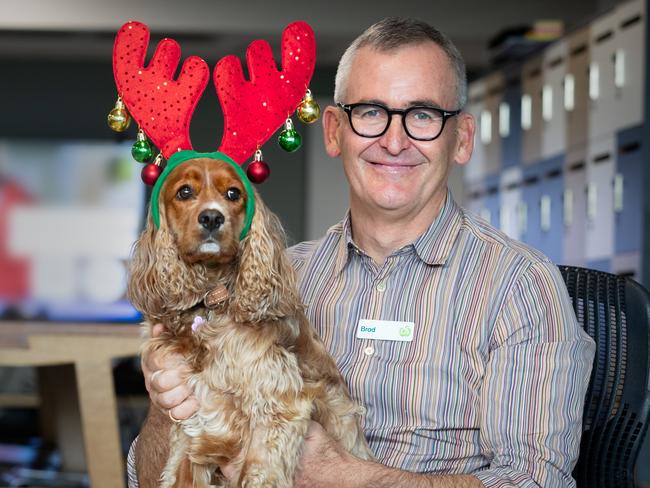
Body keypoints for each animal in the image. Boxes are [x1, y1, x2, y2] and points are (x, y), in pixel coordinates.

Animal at [126, 157, 372, 488]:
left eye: (233, 193)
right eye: (184, 192)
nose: (212, 217)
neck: (210, 301)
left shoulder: (278, 409)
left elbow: (258, 474)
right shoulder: (193, 429)